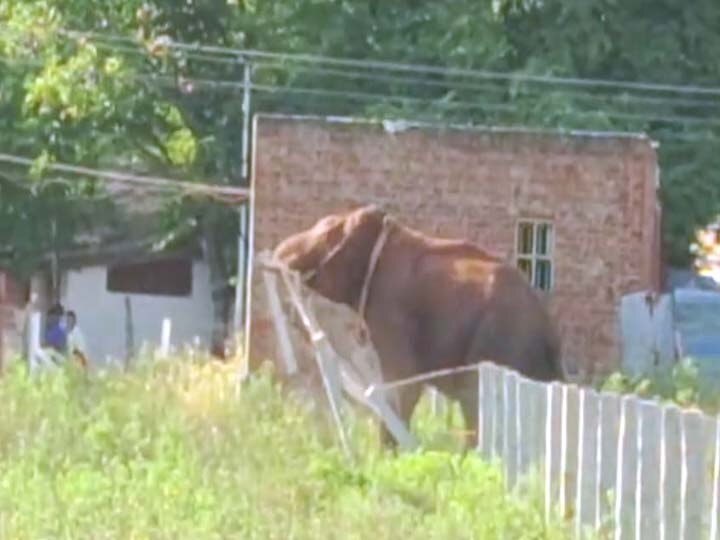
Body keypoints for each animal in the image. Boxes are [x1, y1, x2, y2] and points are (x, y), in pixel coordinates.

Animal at [272, 205, 564, 450]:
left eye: (325, 233)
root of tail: (548, 331)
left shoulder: (393, 308)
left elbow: (401, 381)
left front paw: (388, 457)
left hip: (501, 341)